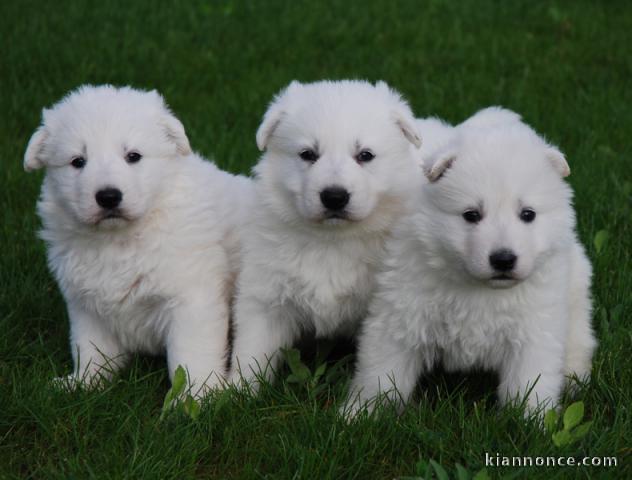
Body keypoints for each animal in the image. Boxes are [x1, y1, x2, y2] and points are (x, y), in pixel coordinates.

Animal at [25, 86, 254, 394]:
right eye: (78, 161)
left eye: (133, 156)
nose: (108, 196)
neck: (120, 239)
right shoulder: (86, 304)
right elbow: (91, 348)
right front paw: (83, 384)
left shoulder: (191, 299)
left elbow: (190, 355)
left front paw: (195, 397)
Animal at [230, 80, 422, 388]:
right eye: (308, 154)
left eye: (365, 155)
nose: (334, 197)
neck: (333, 241)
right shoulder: (266, 296)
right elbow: (252, 350)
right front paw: (234, 392)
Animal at [344, 108, 596, 416]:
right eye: (471, 215)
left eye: (528, 214)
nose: (503, 259)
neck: (478, 288)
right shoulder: (401, 315)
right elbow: (381, 371)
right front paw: (360, 413)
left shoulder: (534, 329)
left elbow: (530, 380)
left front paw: (533, 418)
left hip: (575, 294)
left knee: (579, 338)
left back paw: (574, 378)